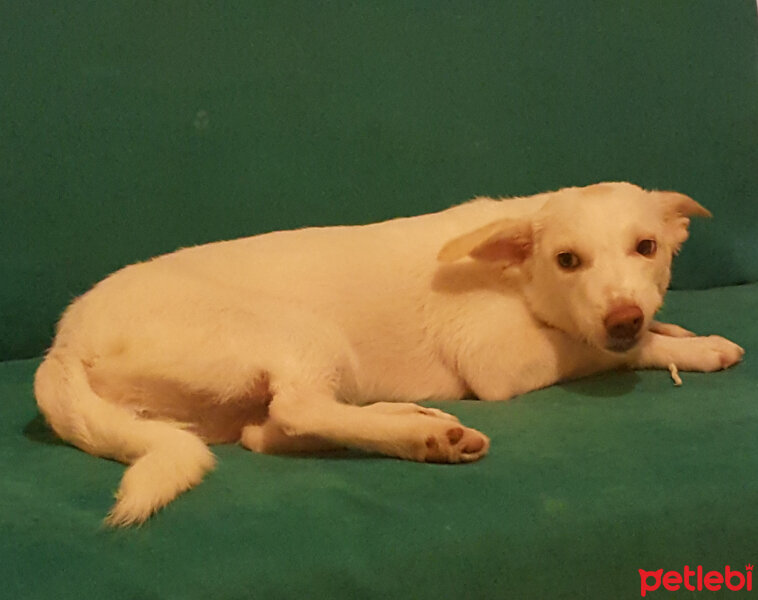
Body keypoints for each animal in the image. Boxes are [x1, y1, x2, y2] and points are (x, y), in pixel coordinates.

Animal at [34, 183, 744, 524]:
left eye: (647, 248)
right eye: (568, 260)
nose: (623, 316)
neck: (513, 270)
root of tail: (63, 344)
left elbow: (645, 329)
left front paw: (674, 329)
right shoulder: (507, 362)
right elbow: (607, 351)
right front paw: (696, 347)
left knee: (268, 430)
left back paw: (412, 420)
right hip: (306, 332)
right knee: (296, 408)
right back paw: (423, 439)